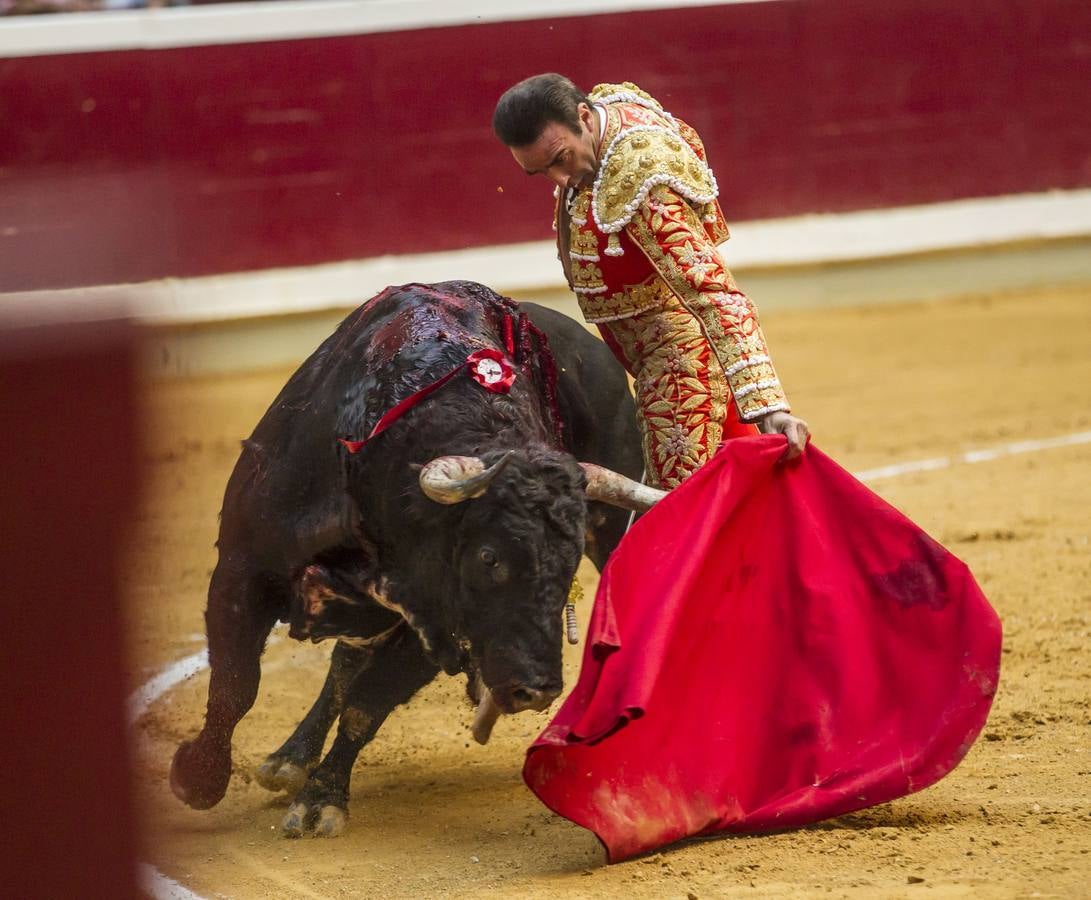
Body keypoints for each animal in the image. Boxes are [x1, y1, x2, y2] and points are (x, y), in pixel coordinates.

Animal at [170, 279, 663, 837]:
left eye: (567, 565)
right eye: (489, 557)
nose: (535, 690)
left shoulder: (436, 623)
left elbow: (366, 705)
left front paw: (321, 800)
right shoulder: (243, 568)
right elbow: (236, 685)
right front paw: (197, 779)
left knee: (347, 668)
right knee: (338, 665)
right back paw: (288, 759)